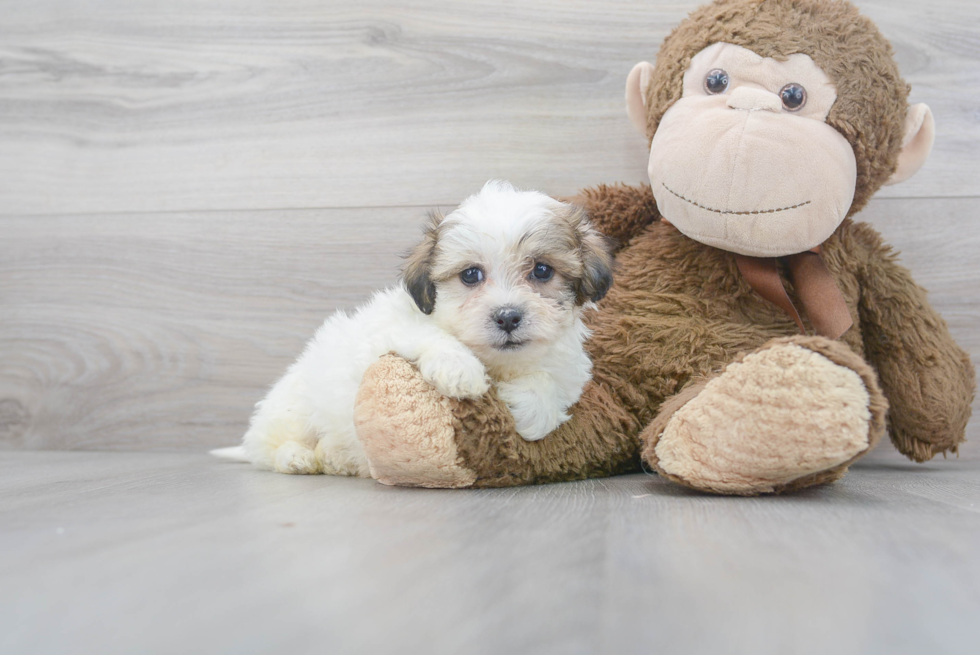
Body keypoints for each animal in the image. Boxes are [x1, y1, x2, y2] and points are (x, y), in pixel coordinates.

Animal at [212, 183, 612, 476]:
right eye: (471, 275)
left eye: (542, 270)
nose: (508, 316)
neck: (500, 364)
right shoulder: (392, 325)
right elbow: (429, 334)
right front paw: (461, 371)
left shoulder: (568, 370)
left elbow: (551, 387)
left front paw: (530, 407)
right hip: (292, 410)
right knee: (271, 448)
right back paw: (298, 458)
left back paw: (337, 457)